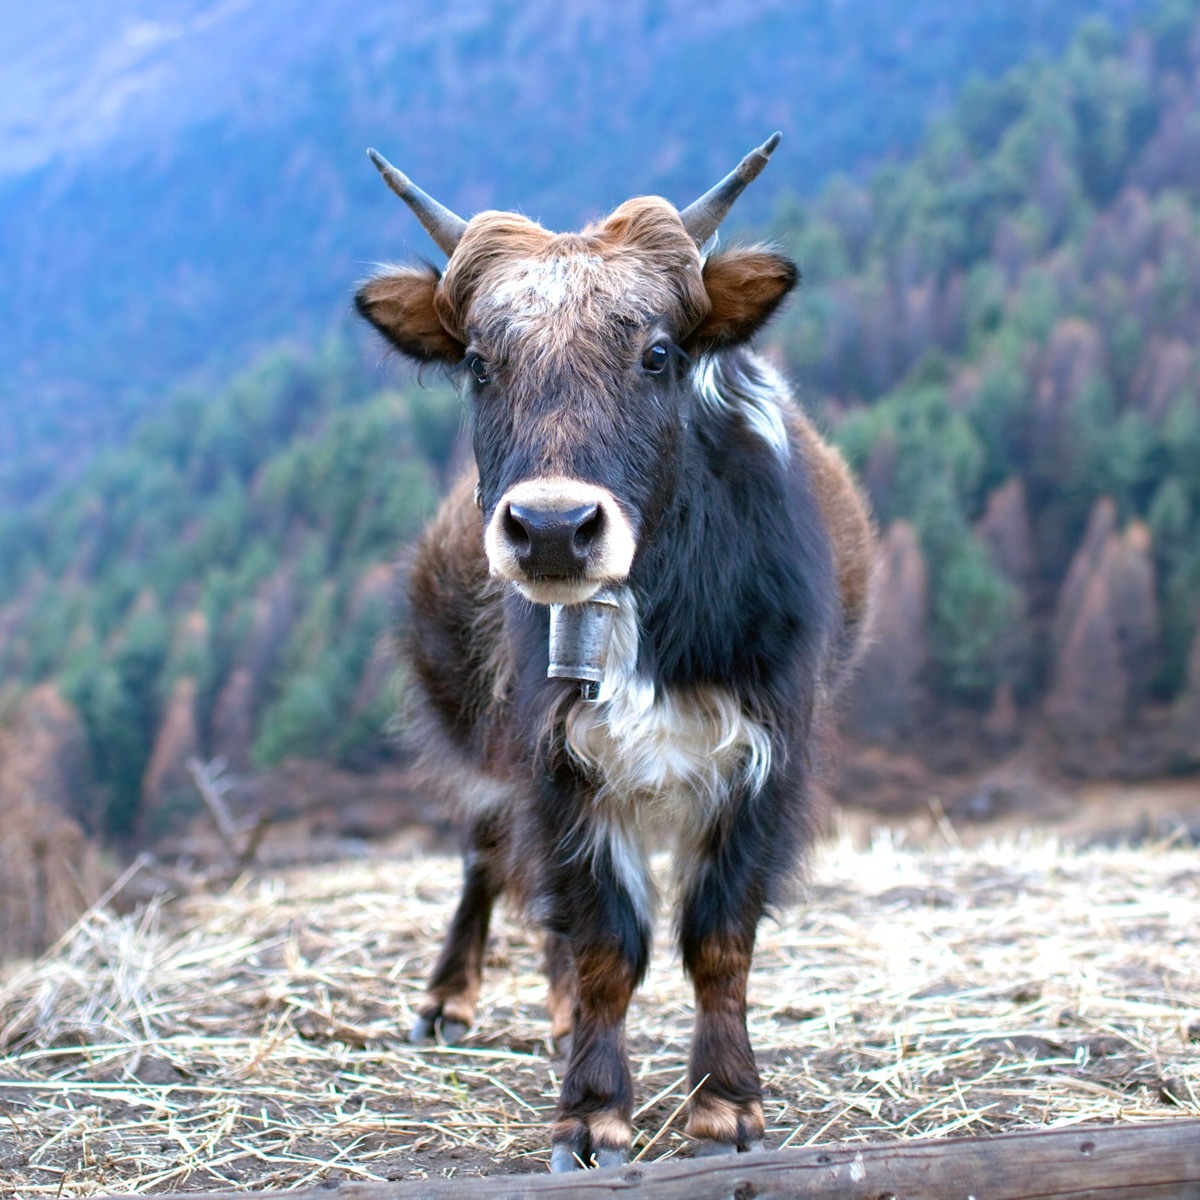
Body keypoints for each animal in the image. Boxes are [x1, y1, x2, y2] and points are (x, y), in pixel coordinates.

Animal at [355, 134, 874, 1171]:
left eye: (660, 353)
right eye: (479, 362)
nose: (554, 529)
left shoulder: (770, 753)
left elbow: (719, 935)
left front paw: (726, 1106)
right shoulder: (556, 759)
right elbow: (604, 943)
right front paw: (591, 1114)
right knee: (489, 857)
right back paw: (452, 1000)